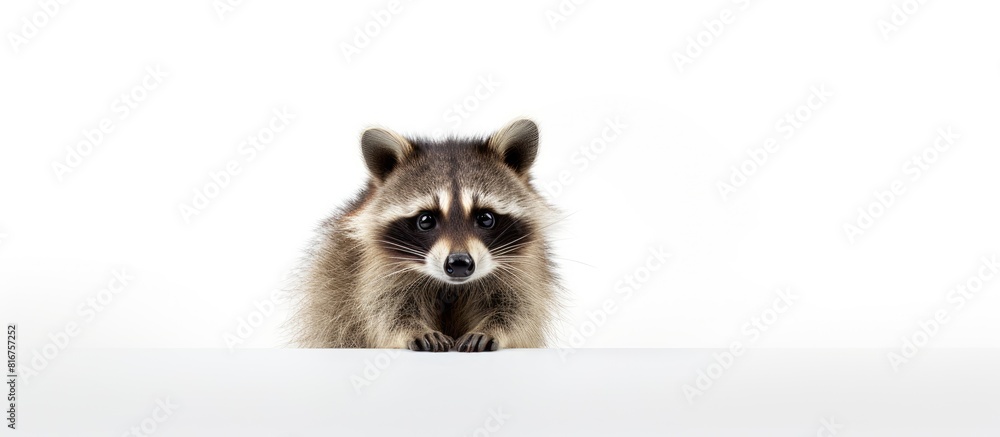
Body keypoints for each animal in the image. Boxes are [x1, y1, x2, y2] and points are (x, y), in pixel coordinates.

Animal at [294, 119, 560, 352]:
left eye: (485, 218)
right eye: (426, 220)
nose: (459, 263)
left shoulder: (522, 265)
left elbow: (519, 307)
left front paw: (492, 329)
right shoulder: (372, 266)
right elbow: (384, 308)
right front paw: (412, 329)